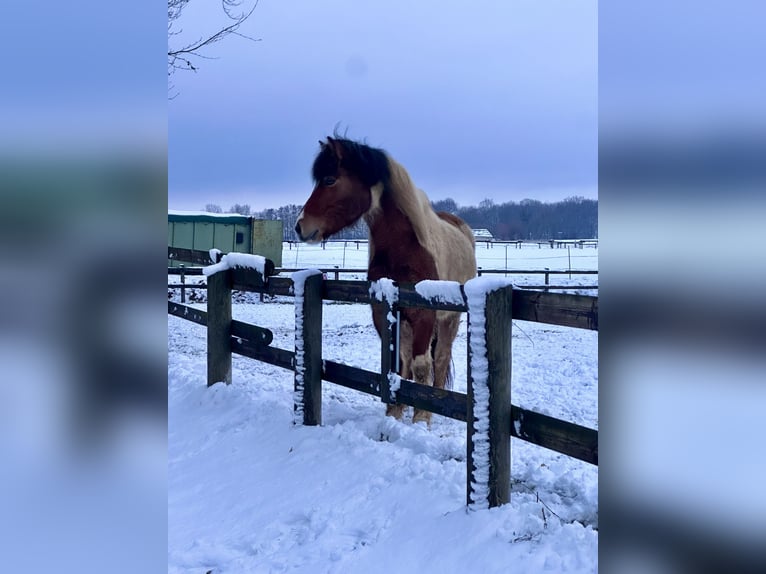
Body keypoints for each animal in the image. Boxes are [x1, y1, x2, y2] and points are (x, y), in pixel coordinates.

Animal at [295, 136, 477, 425]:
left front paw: (421, 418)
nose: (300, 226)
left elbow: (421, 366)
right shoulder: (384, 311)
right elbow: (399, 365)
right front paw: (394, 412)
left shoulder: (424, 314)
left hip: (450, 319)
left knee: (440, 359)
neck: (404, 248)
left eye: (330, 180)